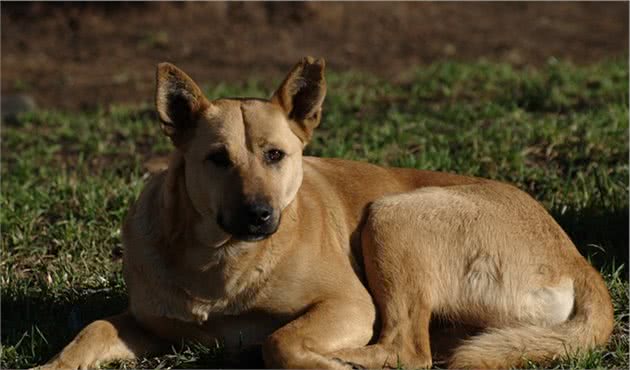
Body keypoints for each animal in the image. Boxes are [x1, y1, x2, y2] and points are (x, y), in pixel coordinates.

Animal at [42, 56, 616, 368]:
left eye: (276, 155)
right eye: (217, 159)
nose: (259, 215)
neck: (218, 262)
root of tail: (579, 261)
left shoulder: (350, 305)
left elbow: (280, 339)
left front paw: (309, 355)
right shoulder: (148, 325)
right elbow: (93, 329)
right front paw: (51, 365)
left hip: (391, 217)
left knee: (407, 350)